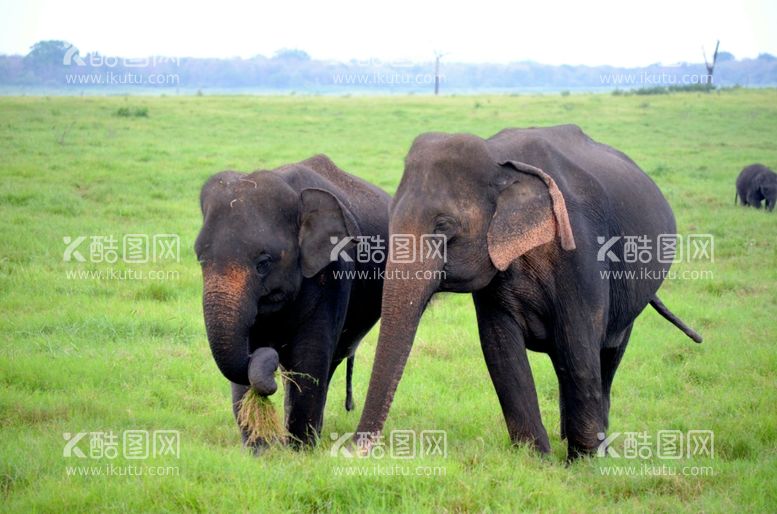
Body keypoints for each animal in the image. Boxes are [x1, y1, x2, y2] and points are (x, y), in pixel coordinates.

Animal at [194, 153, 388, 448]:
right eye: (201, 259)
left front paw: (299, 451)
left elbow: (309, 359)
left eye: (263, 263)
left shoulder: (334, 274)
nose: (268, 354)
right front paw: (259, 450)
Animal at [354, 126, 700, 458]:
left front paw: (584, 462)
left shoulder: (582, 251)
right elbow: (500, 349)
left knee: (608, 352)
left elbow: (577, 344)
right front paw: (535, 459)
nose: (352, 451)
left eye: (444, 226)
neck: (498, 159)